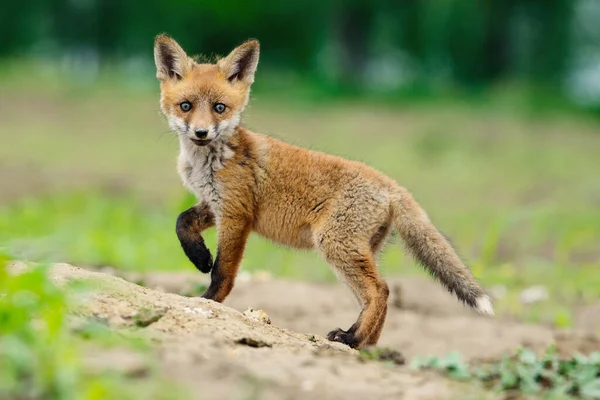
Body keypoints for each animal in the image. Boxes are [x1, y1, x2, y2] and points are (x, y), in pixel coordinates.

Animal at [154, 33, 492, 346]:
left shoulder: (237, 214)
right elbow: (182, 222)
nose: (201, 132)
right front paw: (199, 256)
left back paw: (351, 337)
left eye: (219, 108)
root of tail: (391, 184)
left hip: (335, 245)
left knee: (380, 291)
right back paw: (365, 345)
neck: (208, 161)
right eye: (186, 106)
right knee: (378, 296)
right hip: (356, 253)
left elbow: (223, 270)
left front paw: (209, 299)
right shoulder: (214, 203)